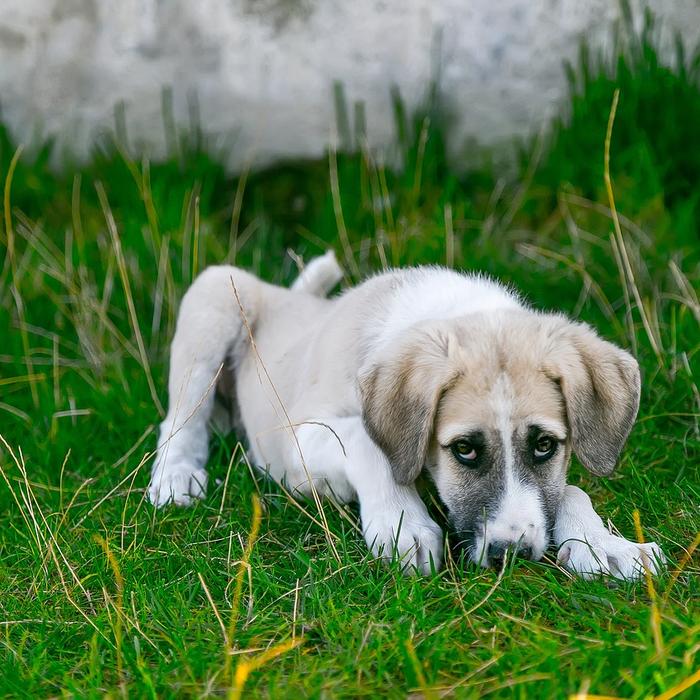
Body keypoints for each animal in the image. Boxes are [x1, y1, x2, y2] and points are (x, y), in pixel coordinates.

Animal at [148, 254, 660, 576]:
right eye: (464, 449)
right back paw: (176, 476)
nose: (510, 554)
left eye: (545, 445)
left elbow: (570, 489)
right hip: (215, 294)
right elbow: (366, 442)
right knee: (180, 417)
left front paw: (604, 545)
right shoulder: (299, 439)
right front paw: (402, 525)